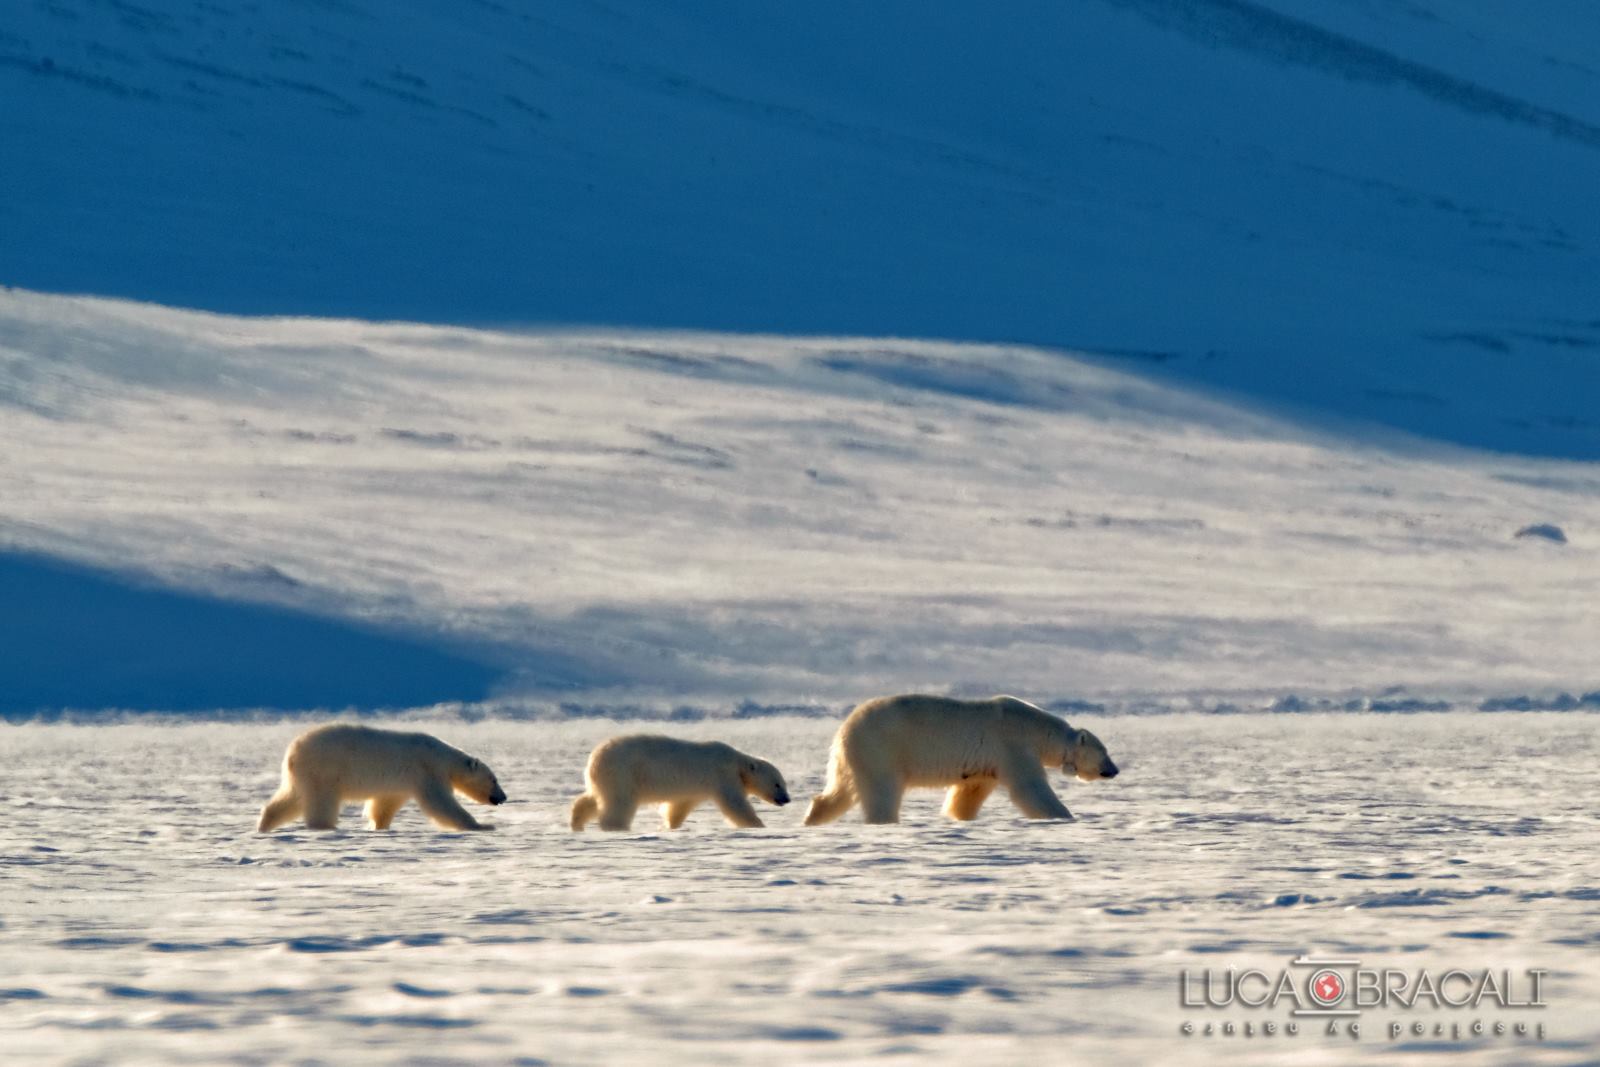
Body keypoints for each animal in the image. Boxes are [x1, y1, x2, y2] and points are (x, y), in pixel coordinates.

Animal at [257, 726, 505, 831]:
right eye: (494, 780)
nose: (503, 797)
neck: (443, 756)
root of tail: (292, 753)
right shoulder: (428, 771)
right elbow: (442, 804)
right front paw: (481, 825)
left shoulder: (400, 782)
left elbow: (385, 804)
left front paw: (380, 826)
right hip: (323, 771)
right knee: (321, 802)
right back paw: (325, 826)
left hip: (304, 776)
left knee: (291, 799)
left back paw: (264, 825)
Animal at [806, 694, 1120, 825]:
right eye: (1105, 752)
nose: (1114, 770)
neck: (1039, 731)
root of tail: (844, 729)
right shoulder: (1013, 746)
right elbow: (1030, 789)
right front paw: (1063, 815)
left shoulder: (985, 763)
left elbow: (969, 792)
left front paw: (959, 817)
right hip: (882, 749)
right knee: (881, 791)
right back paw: (884, 820)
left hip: (855, 756)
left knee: (840, 790)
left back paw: (813, 818)